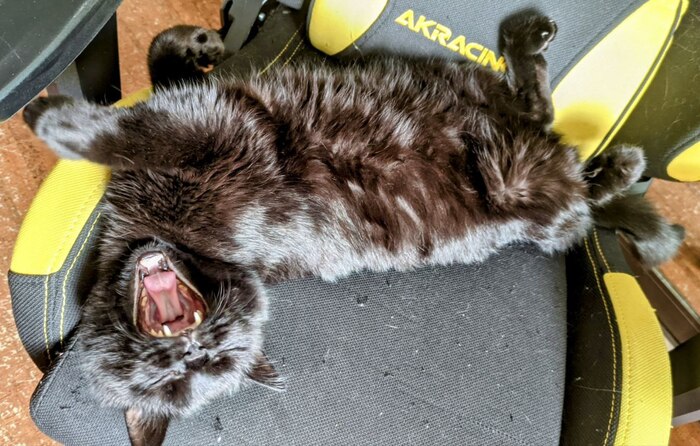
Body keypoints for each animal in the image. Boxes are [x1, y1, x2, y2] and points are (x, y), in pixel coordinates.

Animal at [22, 12, 683, 446]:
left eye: (207, 354)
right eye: (169, 372)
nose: (192, 346)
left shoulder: (217, 125)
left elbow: (144, 110)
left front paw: (66, 122)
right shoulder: (214, 128)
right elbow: (147, 114)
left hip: (499, 148)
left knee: (547, 120)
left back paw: (537, 51)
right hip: (519, 173)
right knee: (562, 156)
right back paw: (621, 172)